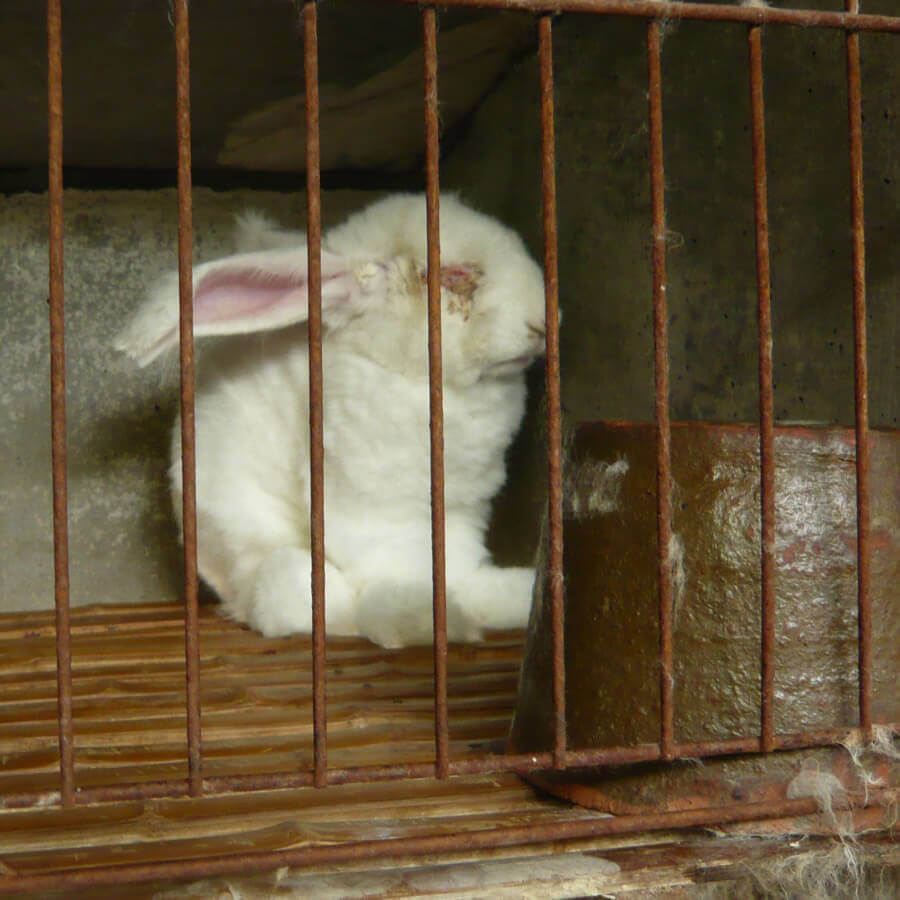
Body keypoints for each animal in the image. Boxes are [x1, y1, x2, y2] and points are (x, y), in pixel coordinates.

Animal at [116, 195, 544, 648]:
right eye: (454, 276)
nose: (542, 323)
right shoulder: (373, 514)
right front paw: (425, 617)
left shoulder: (461, 514)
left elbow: (460, 571)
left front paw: (505, 599)